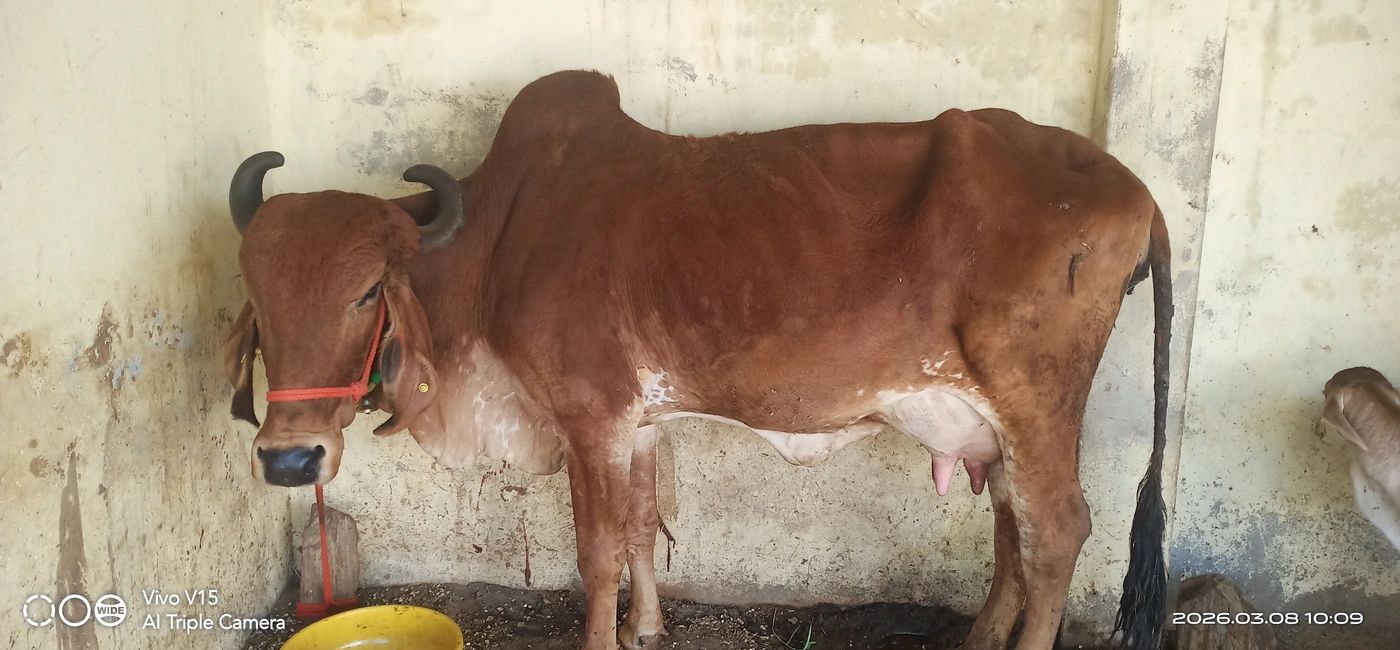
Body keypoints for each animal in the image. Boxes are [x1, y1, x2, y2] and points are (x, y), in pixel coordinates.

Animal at [222, 70, 1172, 650]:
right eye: (257, 294)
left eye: (366, 292)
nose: (290, 459)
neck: (500, 233)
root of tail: (1138, 191)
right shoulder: (638, 419)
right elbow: (643, 525)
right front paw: (644, 628)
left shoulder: (589, 416)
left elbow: (596, 549)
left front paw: (602, 634)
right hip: (995, 422)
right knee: (1014, 525)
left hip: (1036, 401)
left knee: (1057, 532)